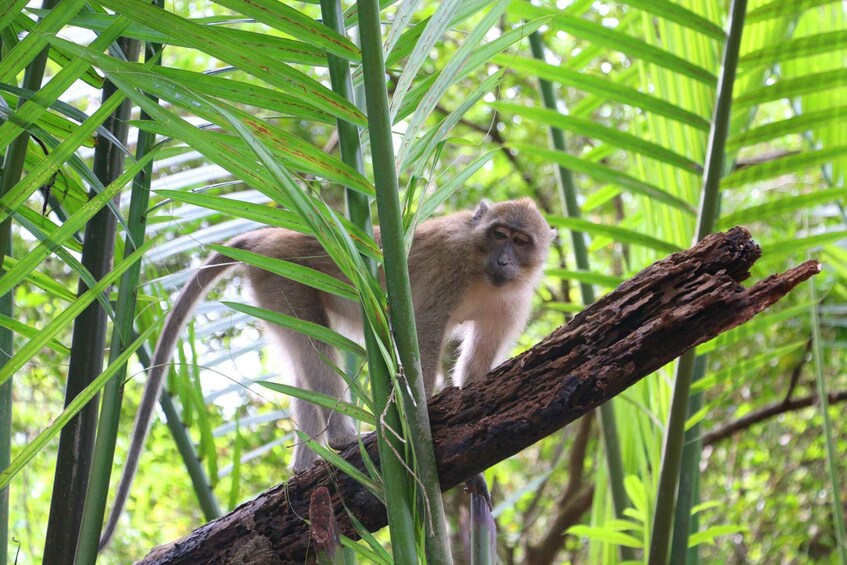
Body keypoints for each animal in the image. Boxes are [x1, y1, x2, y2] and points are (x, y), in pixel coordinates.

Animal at [99, 196, 552, 544]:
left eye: (520, 241)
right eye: (499, 234)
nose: (504, 259)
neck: (481, 271)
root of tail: (269, 236)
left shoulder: (511, 302)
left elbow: (476, 372)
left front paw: (476, 465)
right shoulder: (450, 266)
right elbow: (419, 333)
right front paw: (421, 417)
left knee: (303, 365)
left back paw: (306, 464)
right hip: (282, 277)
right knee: (317, 348)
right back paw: (342, 439)